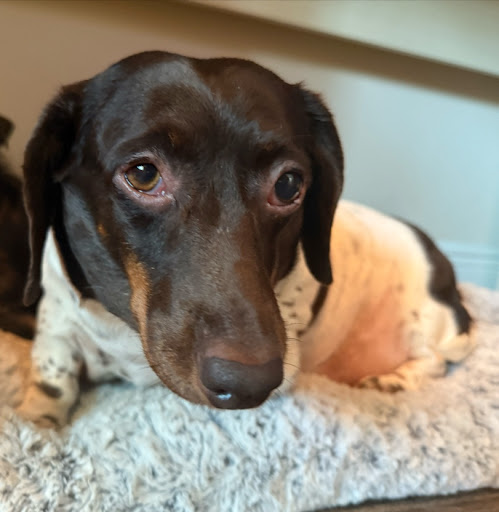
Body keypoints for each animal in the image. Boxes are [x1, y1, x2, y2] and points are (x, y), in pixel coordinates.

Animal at [15, 51, 474, 428]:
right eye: (143, 174)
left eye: (289, 184)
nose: (249, 383)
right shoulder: (58, 325)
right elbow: (52, 379)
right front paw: (36, 422)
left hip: (424, 324)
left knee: (435, 361)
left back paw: (395, 378)